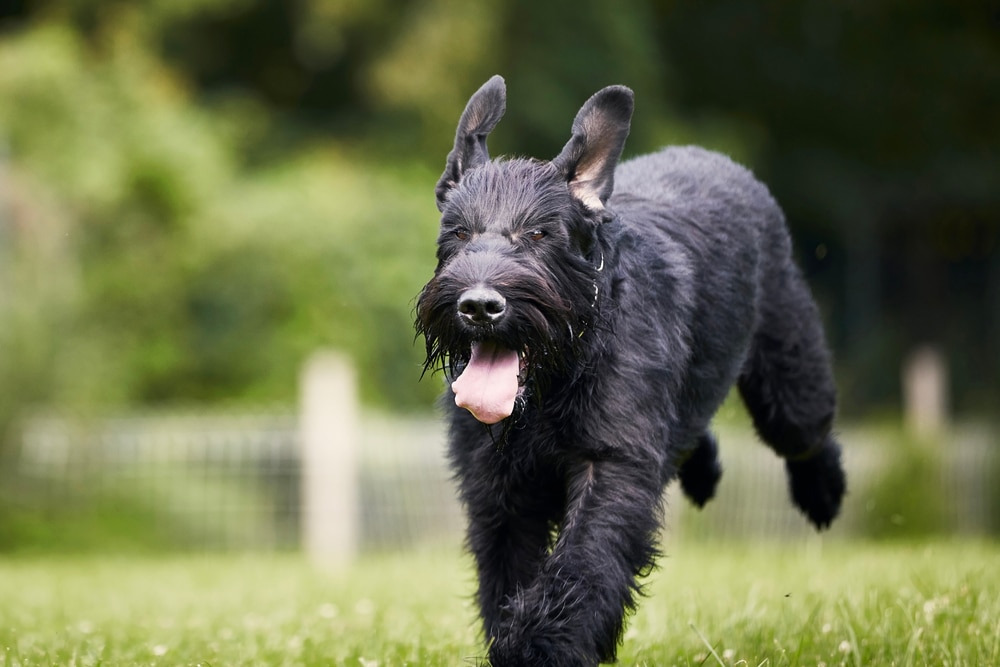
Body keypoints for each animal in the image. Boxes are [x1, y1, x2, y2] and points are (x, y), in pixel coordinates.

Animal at [414, 77, 844, 667]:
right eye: (457, 232)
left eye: (541, 234)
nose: (479, 305)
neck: (556, 382)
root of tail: (718, 159)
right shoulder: (498, 490)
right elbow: (507, 577)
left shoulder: (611, 465)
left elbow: (583, 563)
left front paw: (543, 645)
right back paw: (705, 469)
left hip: (789, 385)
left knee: (808, 432)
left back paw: (822, 491)